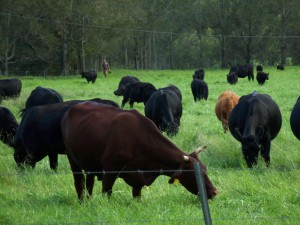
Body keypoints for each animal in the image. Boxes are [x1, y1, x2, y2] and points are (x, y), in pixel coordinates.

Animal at [61, 102, 217, 202]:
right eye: (193, 174)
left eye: (205, 169)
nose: (215, 191)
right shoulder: (109, 170)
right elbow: (107, 193)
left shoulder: (138, 179)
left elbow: (137, 196)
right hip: (72, 159)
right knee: (79, 181)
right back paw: (82, 201)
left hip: (90, 163)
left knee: (89, 181)